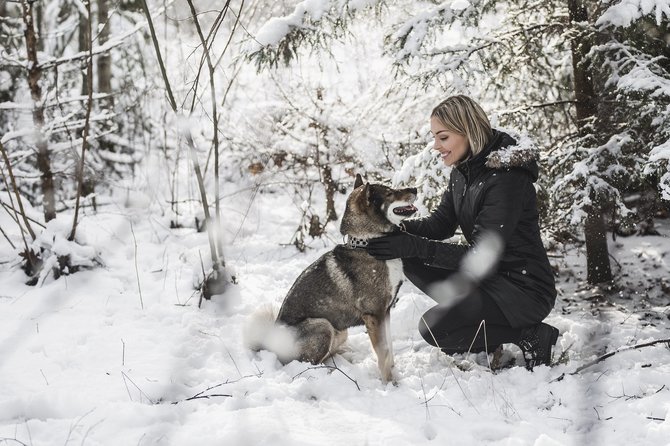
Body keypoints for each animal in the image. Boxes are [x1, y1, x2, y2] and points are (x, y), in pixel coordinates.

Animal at [244, 174, 418, 384]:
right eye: (390, 193)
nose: (415, 189)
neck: (368, 244)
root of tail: (271, 346)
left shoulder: (385, 312)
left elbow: (389, 350)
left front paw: (394, 376)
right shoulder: (374, 314)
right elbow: (383, 353)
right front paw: (390, 384)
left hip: (340, 331)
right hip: (323, 325)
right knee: (307, 363)